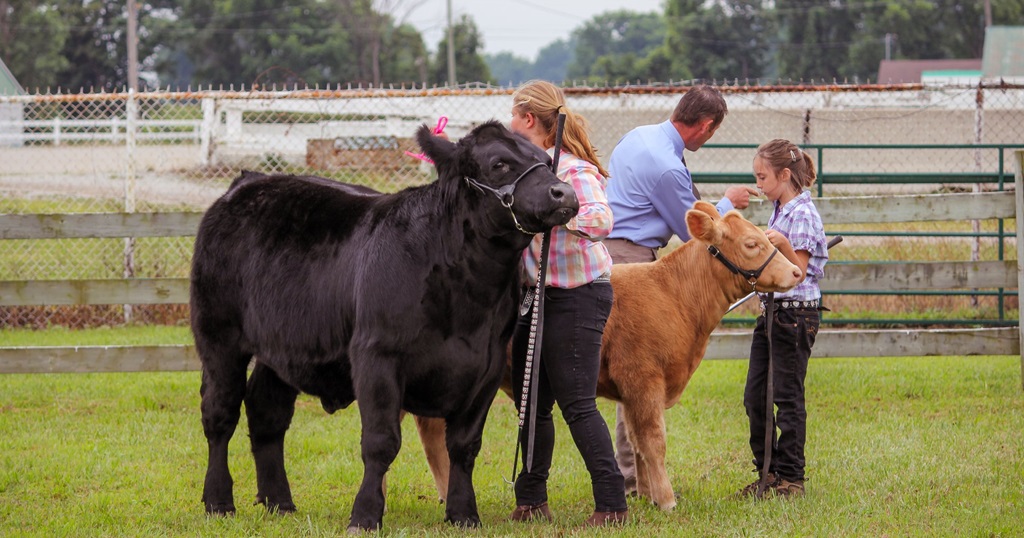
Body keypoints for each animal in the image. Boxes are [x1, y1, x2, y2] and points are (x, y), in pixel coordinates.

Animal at [189, 120, 579, 532]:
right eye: (499, 164)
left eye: (545, 161)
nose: (563, 192)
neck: (467, 296)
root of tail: (248, 182)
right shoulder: (377, 356)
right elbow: (381, 442)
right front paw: (364, 515)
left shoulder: (485, 368)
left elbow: (464, 445)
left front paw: (464, 513)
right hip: (218, 337)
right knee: (220, 414)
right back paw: (218, 501)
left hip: (282, 347)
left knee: (267, 412)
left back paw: (279, 501)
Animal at [413, 200, 803, 511]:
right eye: (751, 243)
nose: (797, 271)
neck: (674, 297)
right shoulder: (643, 379)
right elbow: (653, 441)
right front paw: (667, 500)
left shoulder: (633, 392)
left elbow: (636, 444)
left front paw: (648, 495)